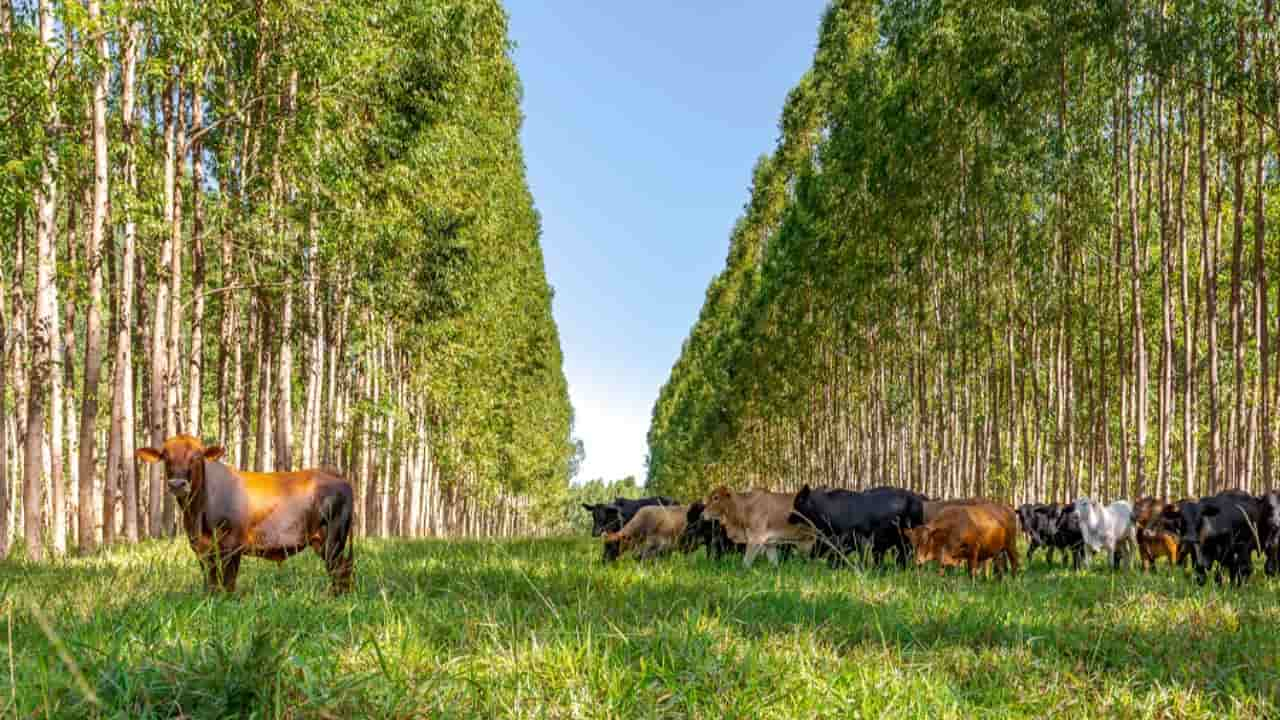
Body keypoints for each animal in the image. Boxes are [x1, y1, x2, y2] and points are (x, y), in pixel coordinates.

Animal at [137, 435, 355, 591]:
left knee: (340, 569)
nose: (177, 484)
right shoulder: (201, 549)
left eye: (197, 456)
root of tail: (336, 475)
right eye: (165, 456)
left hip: (333, 539)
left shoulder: (232, 546)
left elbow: (228, 584)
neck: (197, 514)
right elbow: (211, 583)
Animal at [788, 481, 921, 566]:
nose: (789, 517)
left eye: (798, 501)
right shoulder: (827, 538)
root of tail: (918, 499)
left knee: (906, 554)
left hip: (907, 538)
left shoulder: (857, 538)